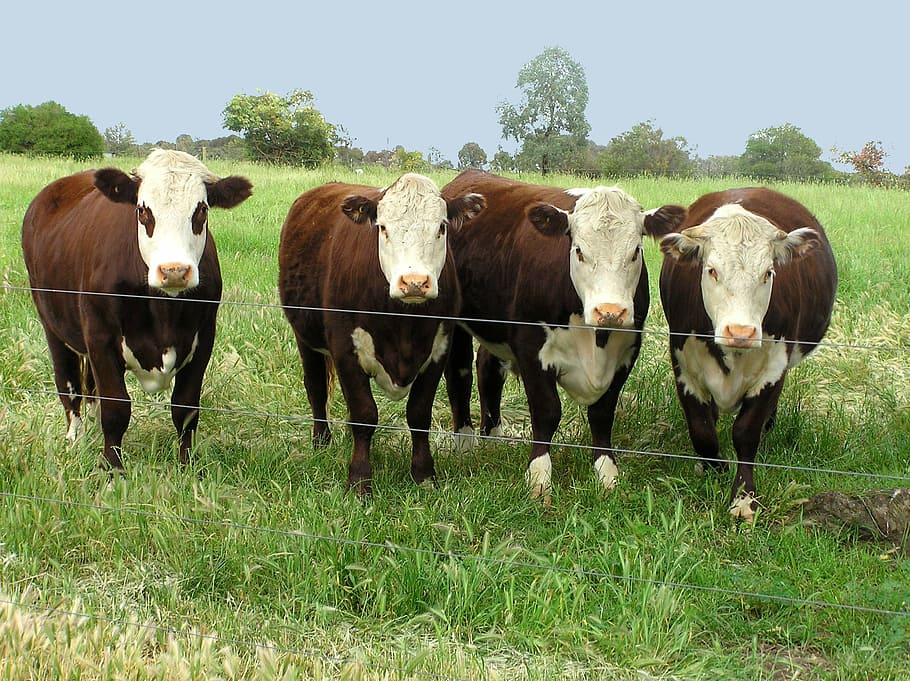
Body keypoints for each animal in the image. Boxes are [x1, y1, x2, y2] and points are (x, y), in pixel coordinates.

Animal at [21, 149, 253, 469]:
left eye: (201, 210)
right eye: (143, 211)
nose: (174, 271)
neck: (164, 310)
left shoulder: (203, 338)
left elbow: (186, 408)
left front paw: (187, 467)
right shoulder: (101, 339)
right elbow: (116, 409)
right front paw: (113, 469)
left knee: (90, 389)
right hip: (53, 327)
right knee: (69, 387)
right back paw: (75, 440)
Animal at [278, 174, 485, 493]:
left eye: (441, 227)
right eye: (383, 227)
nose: (414, 282)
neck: (403, 322)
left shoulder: (439, 349)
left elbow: (419, 414)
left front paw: (424, 476)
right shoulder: (345, 349)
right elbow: (364, 415)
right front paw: (360, 480)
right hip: (305, 338)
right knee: (315, 387)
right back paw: (321, 441)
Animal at [441, 169, 686, 502]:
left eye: (636, 251)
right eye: (579, 251)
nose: (610, 311)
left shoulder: (627, 350)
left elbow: (602, 413)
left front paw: (607, 474)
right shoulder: (530, 346)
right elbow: (547, 412)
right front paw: (539, 477)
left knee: (488, 369)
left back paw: (492, 436)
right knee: (460, 373)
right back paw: (465, 442)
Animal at [658, 187, 837, 521]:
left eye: (768, 273)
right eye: (711, 271)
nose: (740, 332)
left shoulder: (773, 369)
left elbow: (745, 432)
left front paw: (743, 499)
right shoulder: (684, 365)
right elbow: (702, 430)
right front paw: (714, 468)